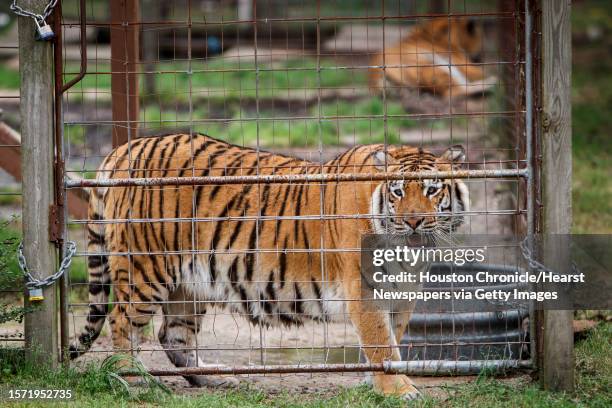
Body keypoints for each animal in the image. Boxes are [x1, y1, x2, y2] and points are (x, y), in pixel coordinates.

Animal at [71, 133, 470, 398]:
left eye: (433, 190)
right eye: (398, 191)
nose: (414, 221)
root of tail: (122, 149)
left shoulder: (403, 294)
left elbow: (392, 338)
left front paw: (379, 382)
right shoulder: (364, 290)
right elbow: (381, 342)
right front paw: (398, 390)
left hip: (189, 285)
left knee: (172, 336)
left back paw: (216, 377)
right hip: (146, 270)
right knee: (122, 323)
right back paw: (132, 378)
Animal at [368, 16, 498, 99]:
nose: (481, 58)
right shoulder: (463, 64)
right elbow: (481, 72)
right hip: (436, 66)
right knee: (452, 92)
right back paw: (491, 84)